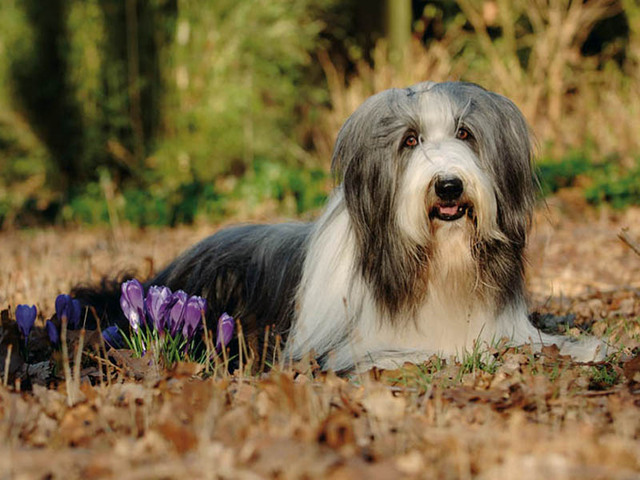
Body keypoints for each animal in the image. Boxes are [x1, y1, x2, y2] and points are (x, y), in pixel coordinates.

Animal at [80, 81, 604, 372]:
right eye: (409, 140)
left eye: (465, 133)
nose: (449, 186)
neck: (438, 263)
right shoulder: (351, 345)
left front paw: (588, 347)